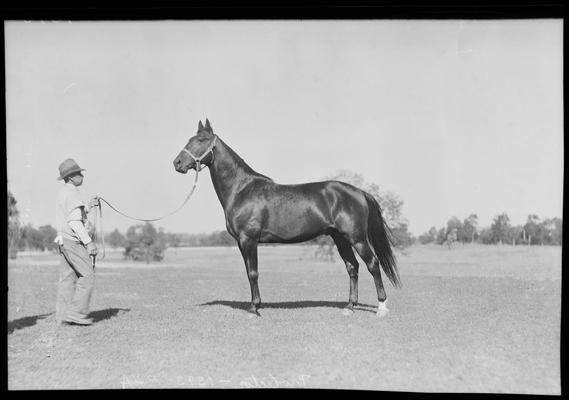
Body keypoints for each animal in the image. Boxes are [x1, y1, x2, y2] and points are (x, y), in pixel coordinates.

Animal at [173, 118, 400, 316]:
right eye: (190, 139)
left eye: (201, 140)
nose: (177, 163)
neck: (241, 190)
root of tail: (359, 192)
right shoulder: (241, 242)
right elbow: (249, 273)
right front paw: (255, 306)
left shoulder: (249, 239)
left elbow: (253, 273)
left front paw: (255, 309)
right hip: (340, 238)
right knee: (352, 267)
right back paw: (349, 307)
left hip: (357, 238)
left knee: (373, 264)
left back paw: (381, 307)